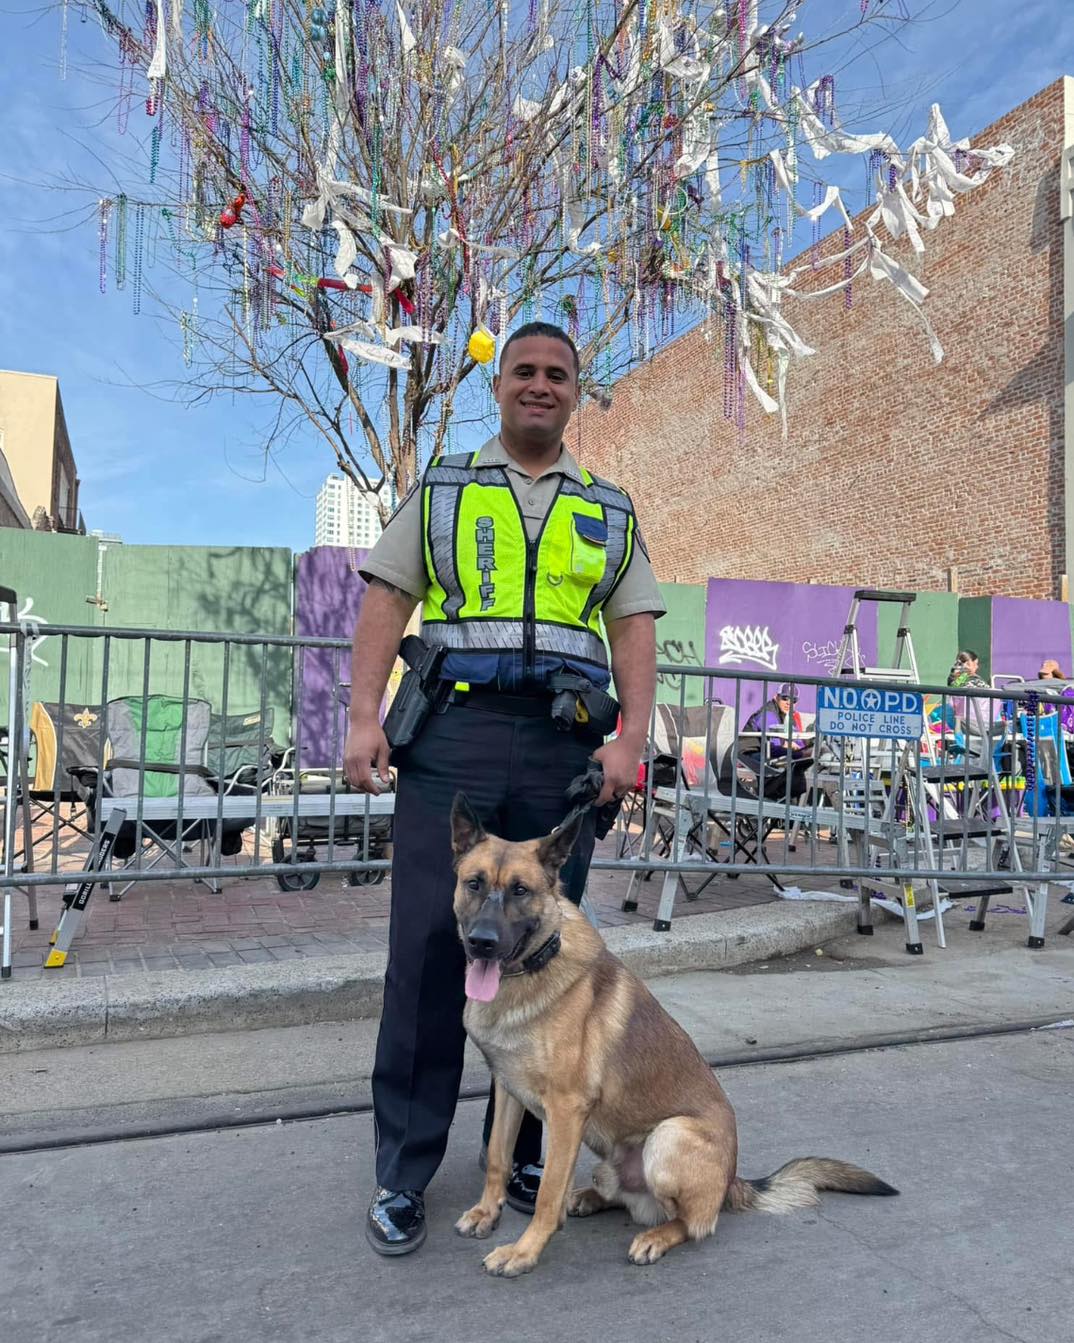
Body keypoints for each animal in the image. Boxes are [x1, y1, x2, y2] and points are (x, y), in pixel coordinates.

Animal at [448, 795, 902, 1278]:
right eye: (474, 884)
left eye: (520, 891)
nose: (482, 942)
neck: (536, 968)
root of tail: (731, 1182)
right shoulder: (508, 1090)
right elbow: (498, 1159)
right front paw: (487, 1212)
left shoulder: (567, 1110)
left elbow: (547, 1196)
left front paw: (524, 1250)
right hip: (613, 1161)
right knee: (619, 1197)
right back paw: (586, 1198)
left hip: (668, 1138)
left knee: (694, 1222)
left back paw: (654, 1236)